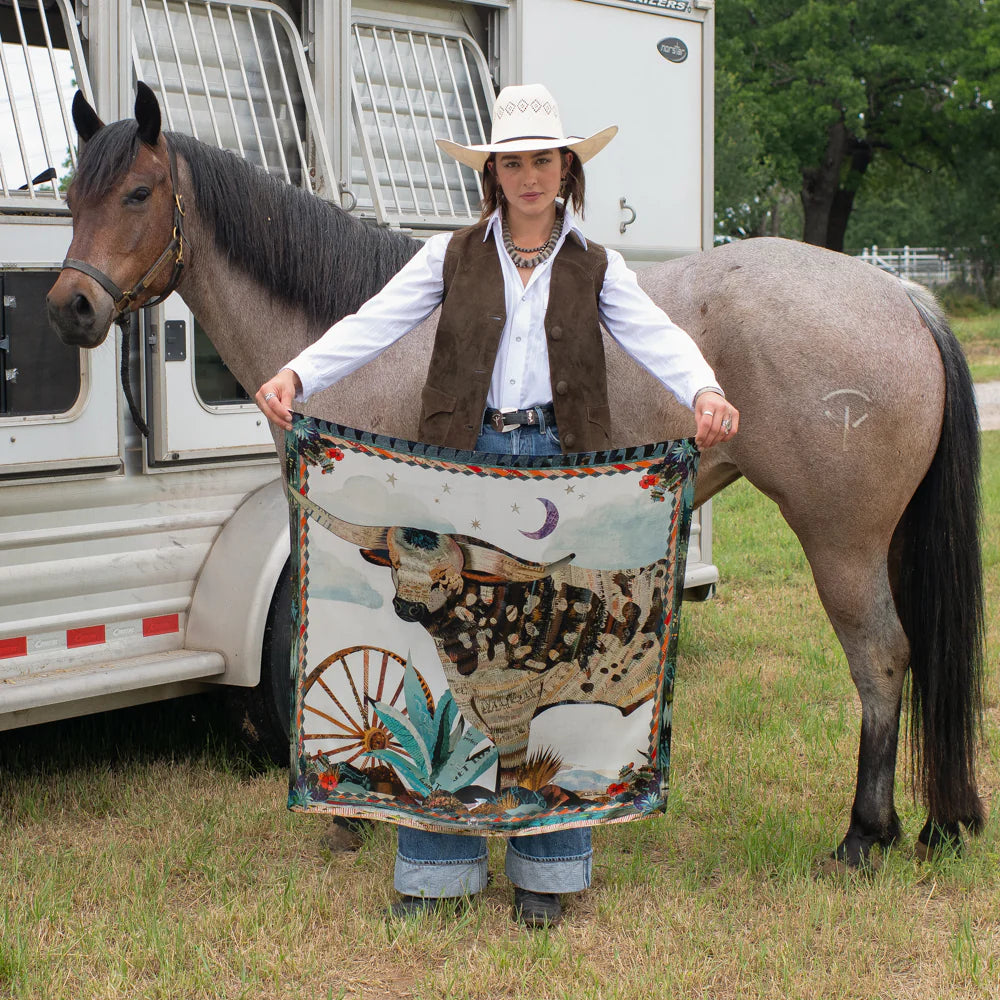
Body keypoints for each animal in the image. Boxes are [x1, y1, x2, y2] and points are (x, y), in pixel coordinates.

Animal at [48, 86, 984, 868]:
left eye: (137, 193)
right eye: (70, 198)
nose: (70, 308)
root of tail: (904, 299)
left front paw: (359, 812)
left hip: (842, 542)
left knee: (881, 657)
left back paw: (863, 837)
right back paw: (930, 825)